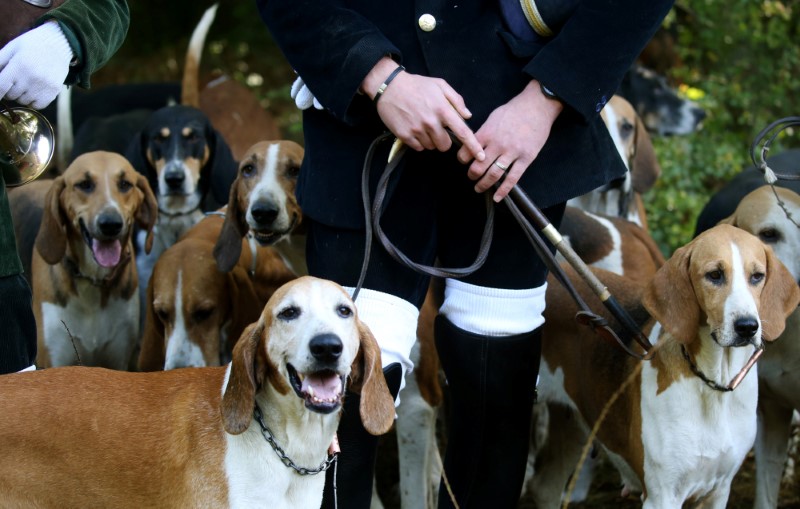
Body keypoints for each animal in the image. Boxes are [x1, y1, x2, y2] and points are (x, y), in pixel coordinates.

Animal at [31, 151, 157, 370]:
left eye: (125, 184)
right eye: (84, 184)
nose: (111, 224)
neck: (92, 280)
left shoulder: (118, 360)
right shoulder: (54, 360)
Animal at [532, 224, 800, 506]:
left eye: (757, 276)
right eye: (715, 275)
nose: (748, 327)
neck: (712, 383)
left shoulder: (719, 491)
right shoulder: (662, 496)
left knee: (545, 487)